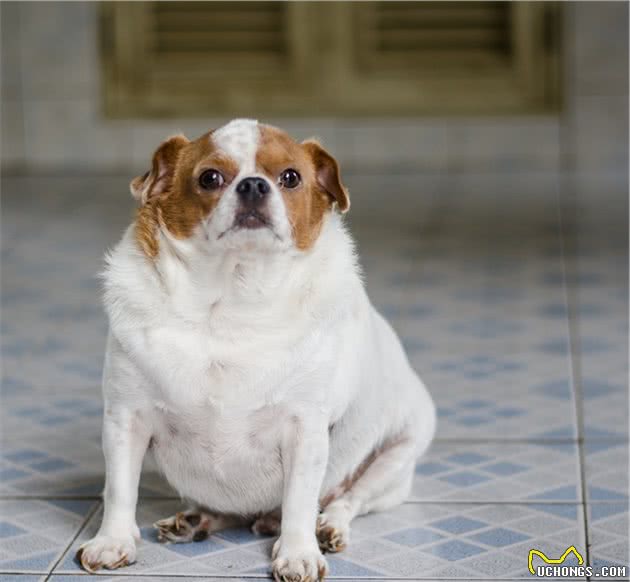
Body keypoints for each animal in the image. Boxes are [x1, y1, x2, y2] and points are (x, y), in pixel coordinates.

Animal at [76, 120, 436, 582]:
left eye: (291, 177)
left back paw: (325, 528)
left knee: (345, 500)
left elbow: (300, 499)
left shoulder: (305, 430)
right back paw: (197, 519)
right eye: (210, 178)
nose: (252, 185)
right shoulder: (126, 420)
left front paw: (299, 552)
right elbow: (120, 488)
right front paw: (112, 541)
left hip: (395, 459)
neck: (232, 301)